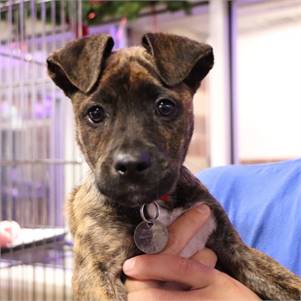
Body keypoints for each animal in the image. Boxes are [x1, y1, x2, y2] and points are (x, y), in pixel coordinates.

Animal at [46, 33, 300, 300]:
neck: (152, 205)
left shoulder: (235, 247)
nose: (131, 165)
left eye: (165, 107)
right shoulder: (95, 270)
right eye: (95, 113)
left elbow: (288, 283)